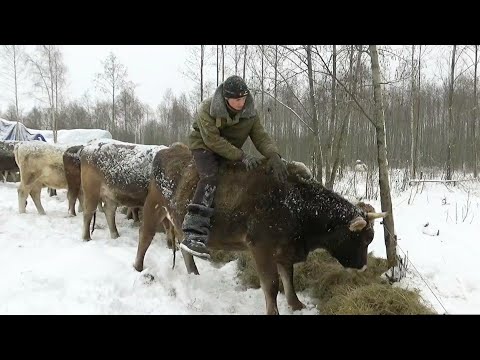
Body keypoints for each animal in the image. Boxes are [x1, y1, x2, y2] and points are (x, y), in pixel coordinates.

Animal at [133, 143, 388, 316]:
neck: (296, 203)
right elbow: (272, 284)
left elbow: (288, 278)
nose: (363, 266)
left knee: (184, 245)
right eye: (362, 239)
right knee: (144, 237)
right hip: (153, 206)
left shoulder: (285, 248)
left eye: (371, 238)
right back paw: (138, 268)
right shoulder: (261, 247)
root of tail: (167, 150)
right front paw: (274, 311)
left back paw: (193, 273)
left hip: (178, 219)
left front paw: (296, 305)